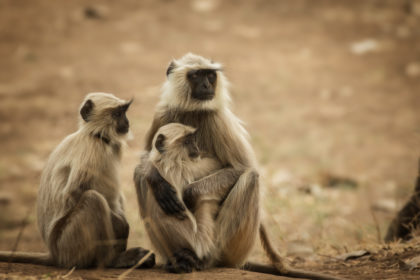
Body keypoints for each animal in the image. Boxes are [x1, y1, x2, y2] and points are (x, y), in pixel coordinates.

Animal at [0, 92, 155, 270]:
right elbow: (74, 191)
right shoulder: (92, 148)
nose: (127, 122)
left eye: (124, 112)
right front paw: (121, 226)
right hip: (69, 244)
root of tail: (54, 255)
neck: (97, 136)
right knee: (93, 199)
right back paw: (113, 260)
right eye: (117, 114)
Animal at [136, 53, 342, 280]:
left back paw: (204, 259)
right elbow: (147, 157)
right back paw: (178, 259)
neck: (193, 110)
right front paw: (157, 179)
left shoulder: (218, 119)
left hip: (232, 247)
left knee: (251, 177)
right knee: (140, 178)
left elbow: (241, 168)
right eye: (197, 75)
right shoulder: (162, 113)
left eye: (210, 75)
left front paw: (187, 194)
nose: (207, 85)